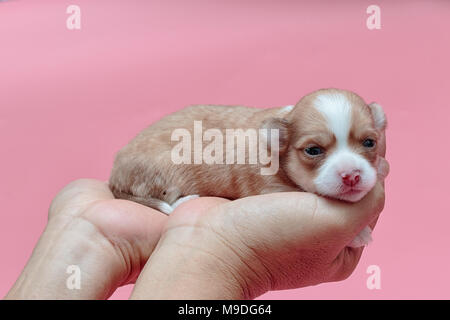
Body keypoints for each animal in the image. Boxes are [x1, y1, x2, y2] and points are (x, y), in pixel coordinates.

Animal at [110, 87, 386, 248]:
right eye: (313, 150)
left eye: (369, 143)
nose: (352, 176)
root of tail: (114, 177)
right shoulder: (269, 188)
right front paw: (358, 235)